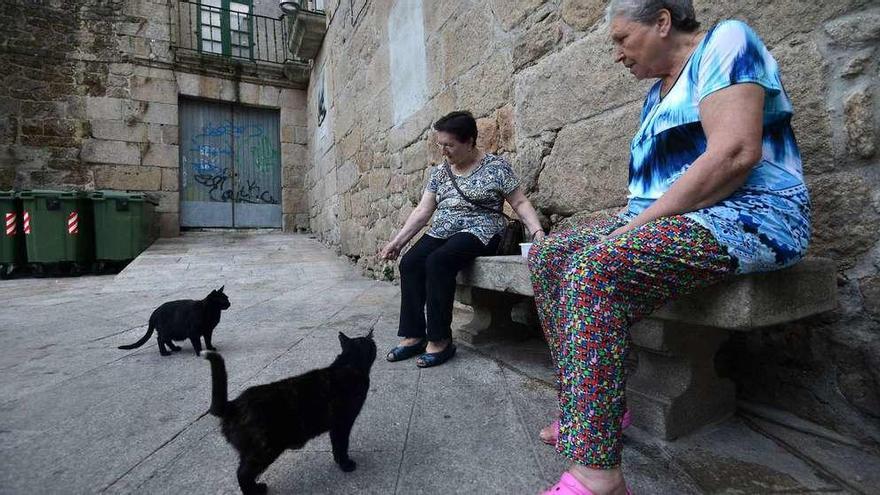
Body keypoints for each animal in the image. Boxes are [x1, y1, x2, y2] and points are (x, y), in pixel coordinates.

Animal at [203, 330, 378, 495]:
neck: (349, 364)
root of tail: (232, 405)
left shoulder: (334, 427)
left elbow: (335, 444)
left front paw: (338, 461)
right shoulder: (342, 423)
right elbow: (342, 445)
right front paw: (346, 464)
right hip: (264, 450)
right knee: (243, 474)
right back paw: (256, 490)